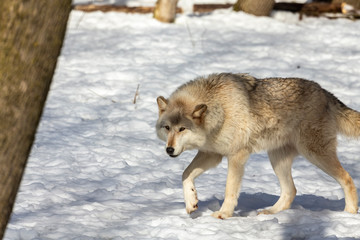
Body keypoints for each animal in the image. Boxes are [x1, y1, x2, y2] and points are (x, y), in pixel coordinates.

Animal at [155, 73, 360, 219]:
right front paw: (191, 203)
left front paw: (223, 214)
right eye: (167, 128)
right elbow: (185, 175)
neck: (220, 109)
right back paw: (269, 213)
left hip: (315, 154)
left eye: (182, 129)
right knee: (291, 191)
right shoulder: (211, 154)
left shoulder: (237, 156)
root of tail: (325, 92)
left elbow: (230, 190)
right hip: (277, 160)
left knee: (348, 179)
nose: (169, 150)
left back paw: (349, 214)